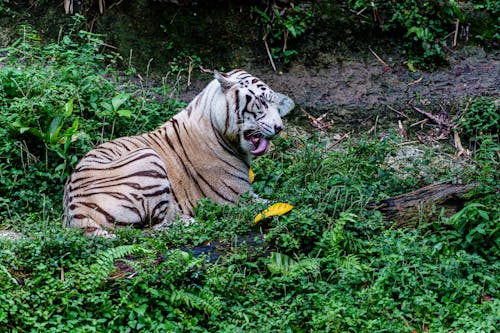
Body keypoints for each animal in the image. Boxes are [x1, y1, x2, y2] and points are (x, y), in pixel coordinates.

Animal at [64, 69, 294, 236]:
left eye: (276, 103)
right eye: (262, 102)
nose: (279, 128)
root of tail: (75, 211)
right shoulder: (239, 198)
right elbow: (281, 201)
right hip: (148, 158)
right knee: (151, 229)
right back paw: (189, 222)